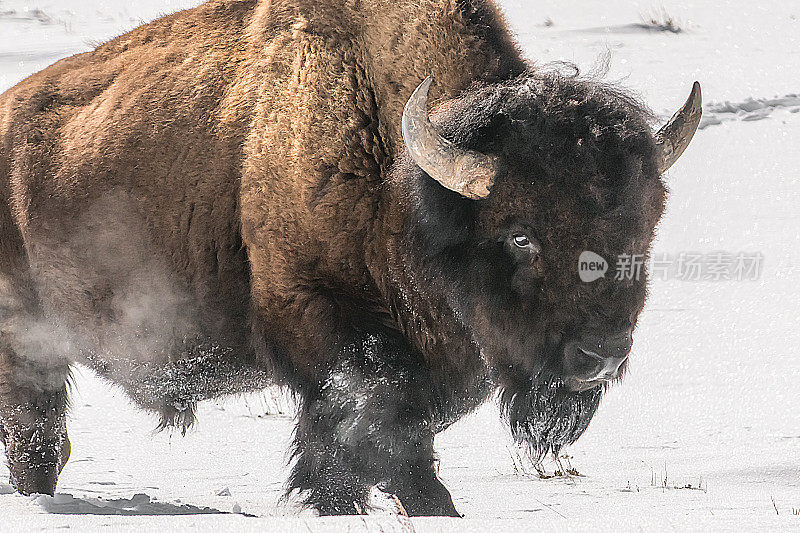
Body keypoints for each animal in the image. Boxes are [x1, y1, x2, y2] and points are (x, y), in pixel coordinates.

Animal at [0, 0, 700, 516]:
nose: (599, 356)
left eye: (642, 230)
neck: (404, 179)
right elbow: (372, 428)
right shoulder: (321, 319)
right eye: (521, 235)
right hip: (27, 346)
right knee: (38, 433)